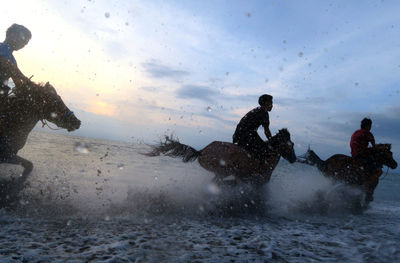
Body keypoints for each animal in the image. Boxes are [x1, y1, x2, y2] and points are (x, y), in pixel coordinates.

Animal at [147, 129, 296, 186]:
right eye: (291, 145)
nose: (294, 159)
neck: (266, 157)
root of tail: (201, 151)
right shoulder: (256, 180)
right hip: (224, 171)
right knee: (215, 182)